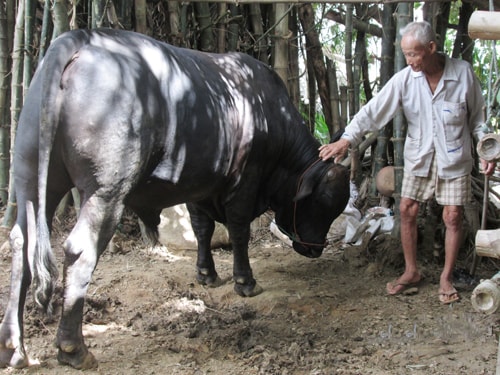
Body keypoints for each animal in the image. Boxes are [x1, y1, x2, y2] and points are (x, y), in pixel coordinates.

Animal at [0, 29, 348, 370]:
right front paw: (245, 281)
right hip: (104, 192)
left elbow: (202, 230)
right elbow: (239, 232)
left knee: (22, 243)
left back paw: (14, 347)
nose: (315, 249)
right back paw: (73, 349)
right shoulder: (245, 183)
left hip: (31, 181)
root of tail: (78, 38)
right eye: (325, 202)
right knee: (79, 250)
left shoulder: (199, 185)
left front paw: (207, 275)